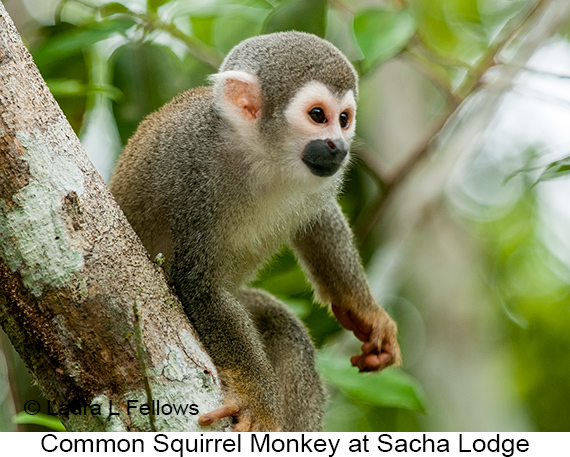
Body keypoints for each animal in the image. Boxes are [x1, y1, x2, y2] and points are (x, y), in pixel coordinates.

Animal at [107, 32, 400, 432]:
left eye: (344, 119)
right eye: (318, 116)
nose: (339, 146)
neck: (260, 157)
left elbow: (320, 220)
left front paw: (364, 311)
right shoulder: (193, 175)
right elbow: (199, 286)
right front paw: (259, 403)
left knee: (283, 326)